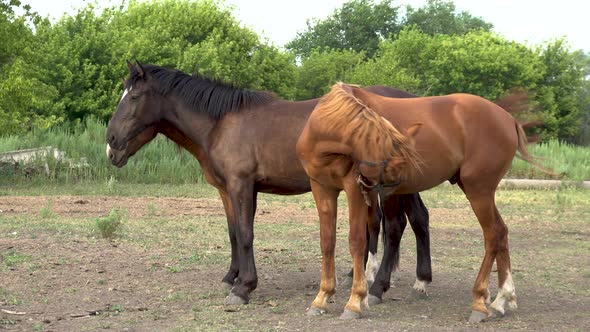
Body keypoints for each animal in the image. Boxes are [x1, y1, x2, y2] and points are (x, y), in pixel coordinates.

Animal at [104, 63, 432, 306]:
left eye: (133, 97)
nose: (111, 144)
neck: (222, 123)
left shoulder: (241, 186)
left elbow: (246, 233)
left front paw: (244, 287)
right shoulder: (227, 190)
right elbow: (234, 233)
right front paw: (232, 277)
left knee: (395, 227)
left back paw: (378, 288)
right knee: (418, 219)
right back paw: (418, 280)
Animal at [298, 83, 552, 322]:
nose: (389, 188)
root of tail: (508, 119)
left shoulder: (354, 189)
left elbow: (357, 241)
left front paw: (355, 301)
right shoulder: (322, 189)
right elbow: (327, 241)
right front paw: (322, 297)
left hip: (479, 190)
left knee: (493, 234)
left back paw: (480, 301)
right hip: (475, 189)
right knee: (501, 232)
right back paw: (502, 299)